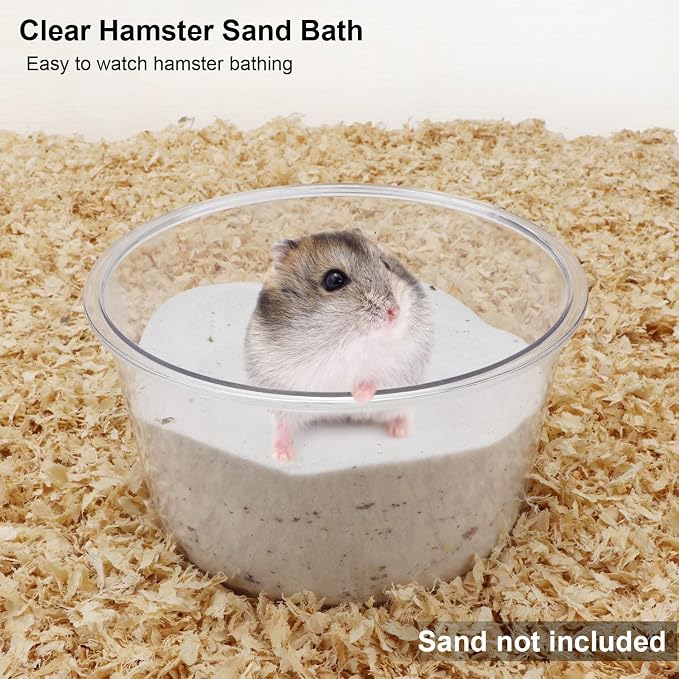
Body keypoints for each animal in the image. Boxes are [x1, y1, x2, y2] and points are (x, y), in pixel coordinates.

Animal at [244, 228, 434, 461]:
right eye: (334, 279)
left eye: (387, 265)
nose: (395, 312)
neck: (350, 339)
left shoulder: (403, 357)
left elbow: (375, 375)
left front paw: (360, 397)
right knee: (283, 425)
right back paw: (282, 456)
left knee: (401, 413)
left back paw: (399, 432)